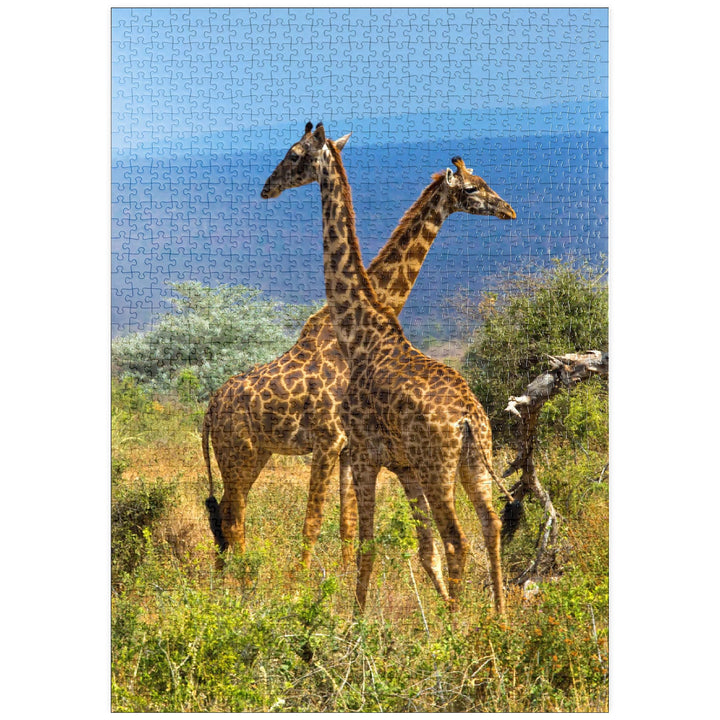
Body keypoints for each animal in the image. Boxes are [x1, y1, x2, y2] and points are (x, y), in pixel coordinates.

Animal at [204, 123, 515, 571]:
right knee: (232, 520)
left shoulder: (347, 447)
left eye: (484, 183)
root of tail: (209, 410)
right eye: (472, 188)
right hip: (237, 455)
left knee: (227, 519)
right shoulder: (332, 440)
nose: (267, 187)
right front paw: (304, 584)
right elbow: (315, 523)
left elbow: (347, 527)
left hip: (251, 455)